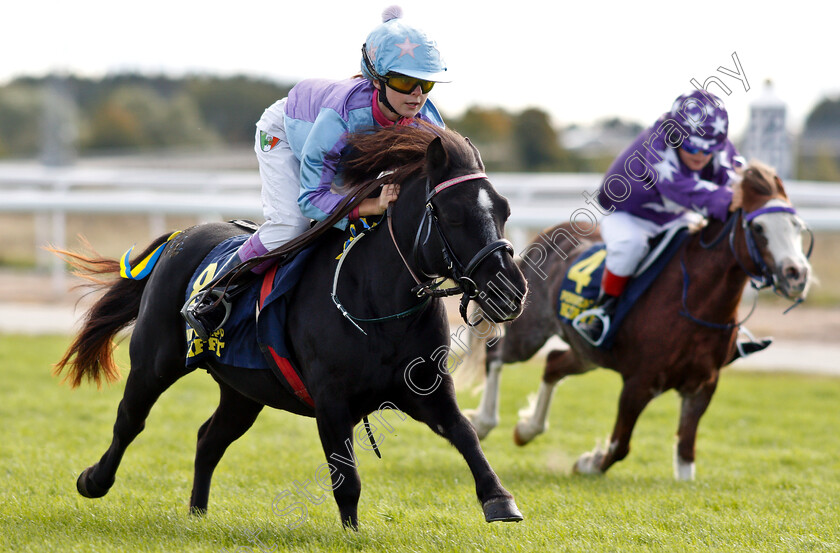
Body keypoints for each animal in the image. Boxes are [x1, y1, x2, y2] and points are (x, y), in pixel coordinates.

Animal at [50, 123, 524, 528]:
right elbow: (346, 477)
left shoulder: (426, 388)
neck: (374, 301)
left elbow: (465, 433)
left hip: (244, 389)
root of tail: (178, 237)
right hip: (155, 362)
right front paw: (352, 535)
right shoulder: (332, 401)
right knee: (130, 419)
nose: (511, 288)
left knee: (209, 438)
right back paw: (93, 480)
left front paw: (500, 499)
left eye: (503, 209)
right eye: (454, 214)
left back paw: (197, 514)